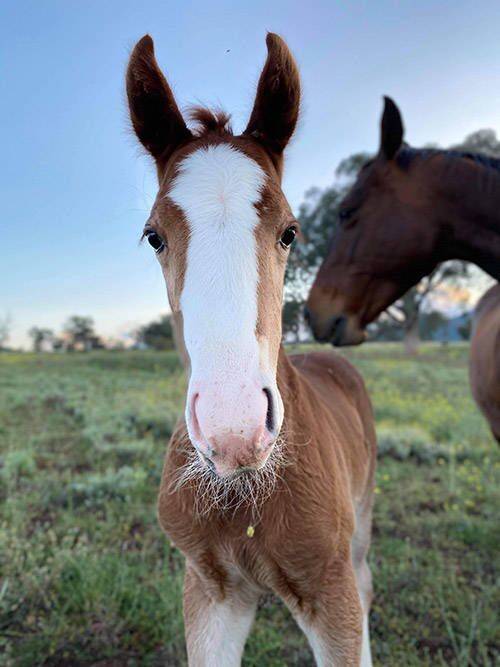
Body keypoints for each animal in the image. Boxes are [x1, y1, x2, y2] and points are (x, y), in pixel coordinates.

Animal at [127, 34, 376, 664]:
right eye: (154, 236)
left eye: (290, 231)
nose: (234, 430)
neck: (242, 498)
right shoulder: (210, 590)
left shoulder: (330, 592)